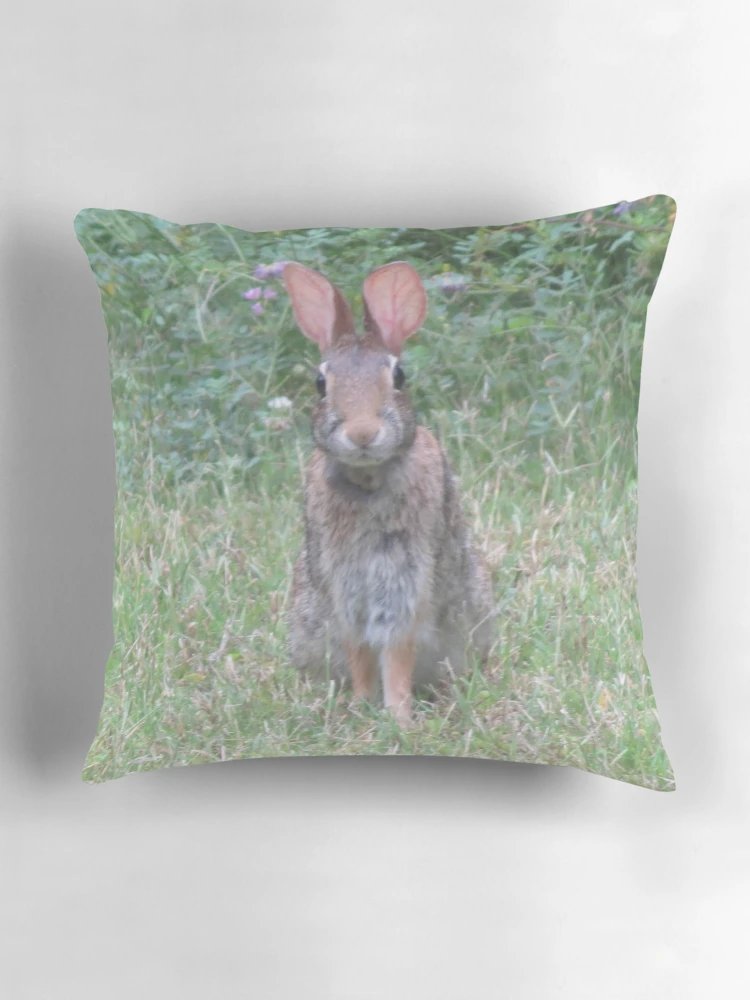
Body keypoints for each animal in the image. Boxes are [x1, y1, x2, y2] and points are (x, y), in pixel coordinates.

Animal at [283, 260, 495, 726]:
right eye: (320, 383)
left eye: (399, 377)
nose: (362, 433)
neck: (368, 478)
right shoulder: (343, 584)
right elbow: (360, 649)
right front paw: (364, 706)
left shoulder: (406, 578)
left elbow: (396, 649)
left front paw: (398, 717)